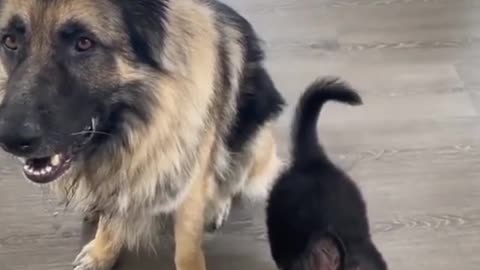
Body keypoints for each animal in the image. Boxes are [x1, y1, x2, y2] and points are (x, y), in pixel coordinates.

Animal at [0, 0, 284, 270]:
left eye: (84, 43)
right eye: (10, 41)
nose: (9, 140)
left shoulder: (190, 188)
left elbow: (186, 249)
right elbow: (111, 216)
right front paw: (102, 251)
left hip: (255, 140)